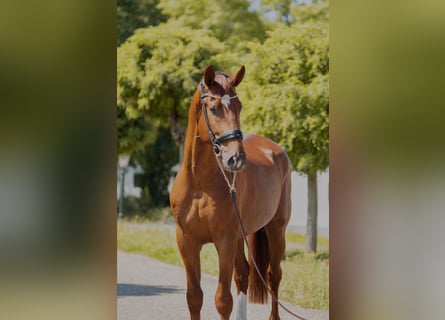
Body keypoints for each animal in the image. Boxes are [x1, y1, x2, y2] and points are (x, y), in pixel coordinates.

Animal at [170, 65, 292, 320]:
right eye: (214, 108)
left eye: (239, 106)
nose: (236, 159)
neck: (200, 184)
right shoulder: (186, 241)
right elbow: (194, 297)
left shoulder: (224, 240)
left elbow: (223, 300)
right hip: (240, 236)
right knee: (244, 274)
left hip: (276, 230)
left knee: (273, 275)